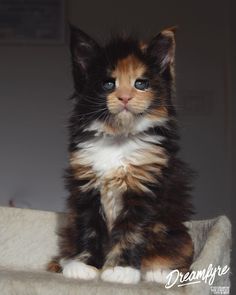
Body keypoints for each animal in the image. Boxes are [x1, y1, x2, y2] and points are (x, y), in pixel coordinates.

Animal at [47, 26, 194, 286]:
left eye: (141, 83)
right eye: (108, 84)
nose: (125, 97)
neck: (118, 138)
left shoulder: (144, 187)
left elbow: (131, 231)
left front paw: (121, 271)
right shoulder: (86, 189)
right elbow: (88, 229)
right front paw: (84, 265)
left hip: (176, 231)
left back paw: (160, 272)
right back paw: (65, 262)